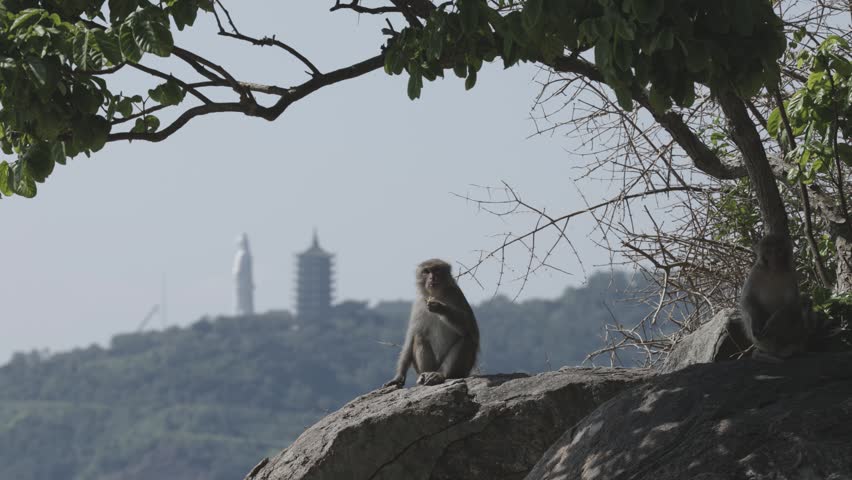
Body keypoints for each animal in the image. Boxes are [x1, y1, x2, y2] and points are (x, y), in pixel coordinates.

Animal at [383, 259, 480, 388]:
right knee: (419, 337)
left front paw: (440, 307)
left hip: (463, 369)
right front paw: (398, 377)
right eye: (426, 271)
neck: (436, 294)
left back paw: (441, 375)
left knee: (467, 338)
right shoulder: (419, 304)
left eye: (436, 270)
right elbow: (412, 337)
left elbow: (471, 328)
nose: (432, 278)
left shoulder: (456, 295)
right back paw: (426, 375)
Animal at [739, 233, 815, 361]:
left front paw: (772, 324)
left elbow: (791, 303)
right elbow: (748, 299)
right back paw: (769, 352)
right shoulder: (756, 271)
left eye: (779, 250)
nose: (774, 259)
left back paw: (794, 348)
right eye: (769, 251)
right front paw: (756, 323)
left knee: (801, 304)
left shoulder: (791, 273)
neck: (774, 271)